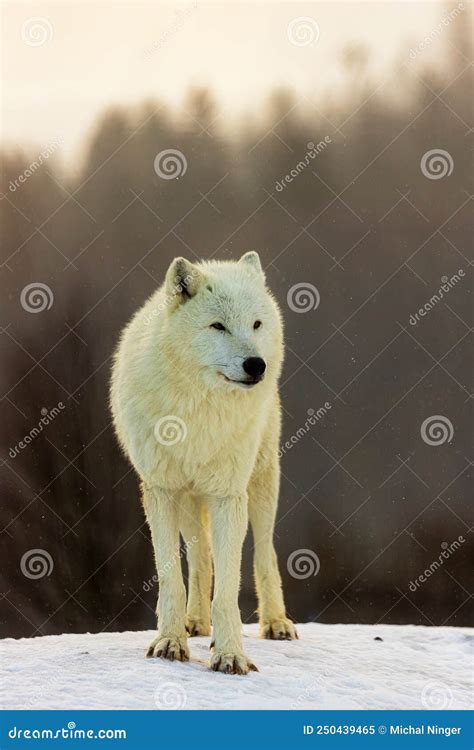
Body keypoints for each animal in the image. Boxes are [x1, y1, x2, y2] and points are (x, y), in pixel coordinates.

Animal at [110, 253, 296, 676]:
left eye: (256, 324)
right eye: (218, 326)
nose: (256, 365)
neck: (199, 413)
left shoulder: (228, 495)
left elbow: (228, 588)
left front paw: (230, 654)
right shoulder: (161, 491)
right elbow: (171, 579)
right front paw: (170, 641)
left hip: (261, 485)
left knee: (265, 553)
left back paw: (276, 622)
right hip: (188, 500)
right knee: (200, 559)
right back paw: (194, 622)